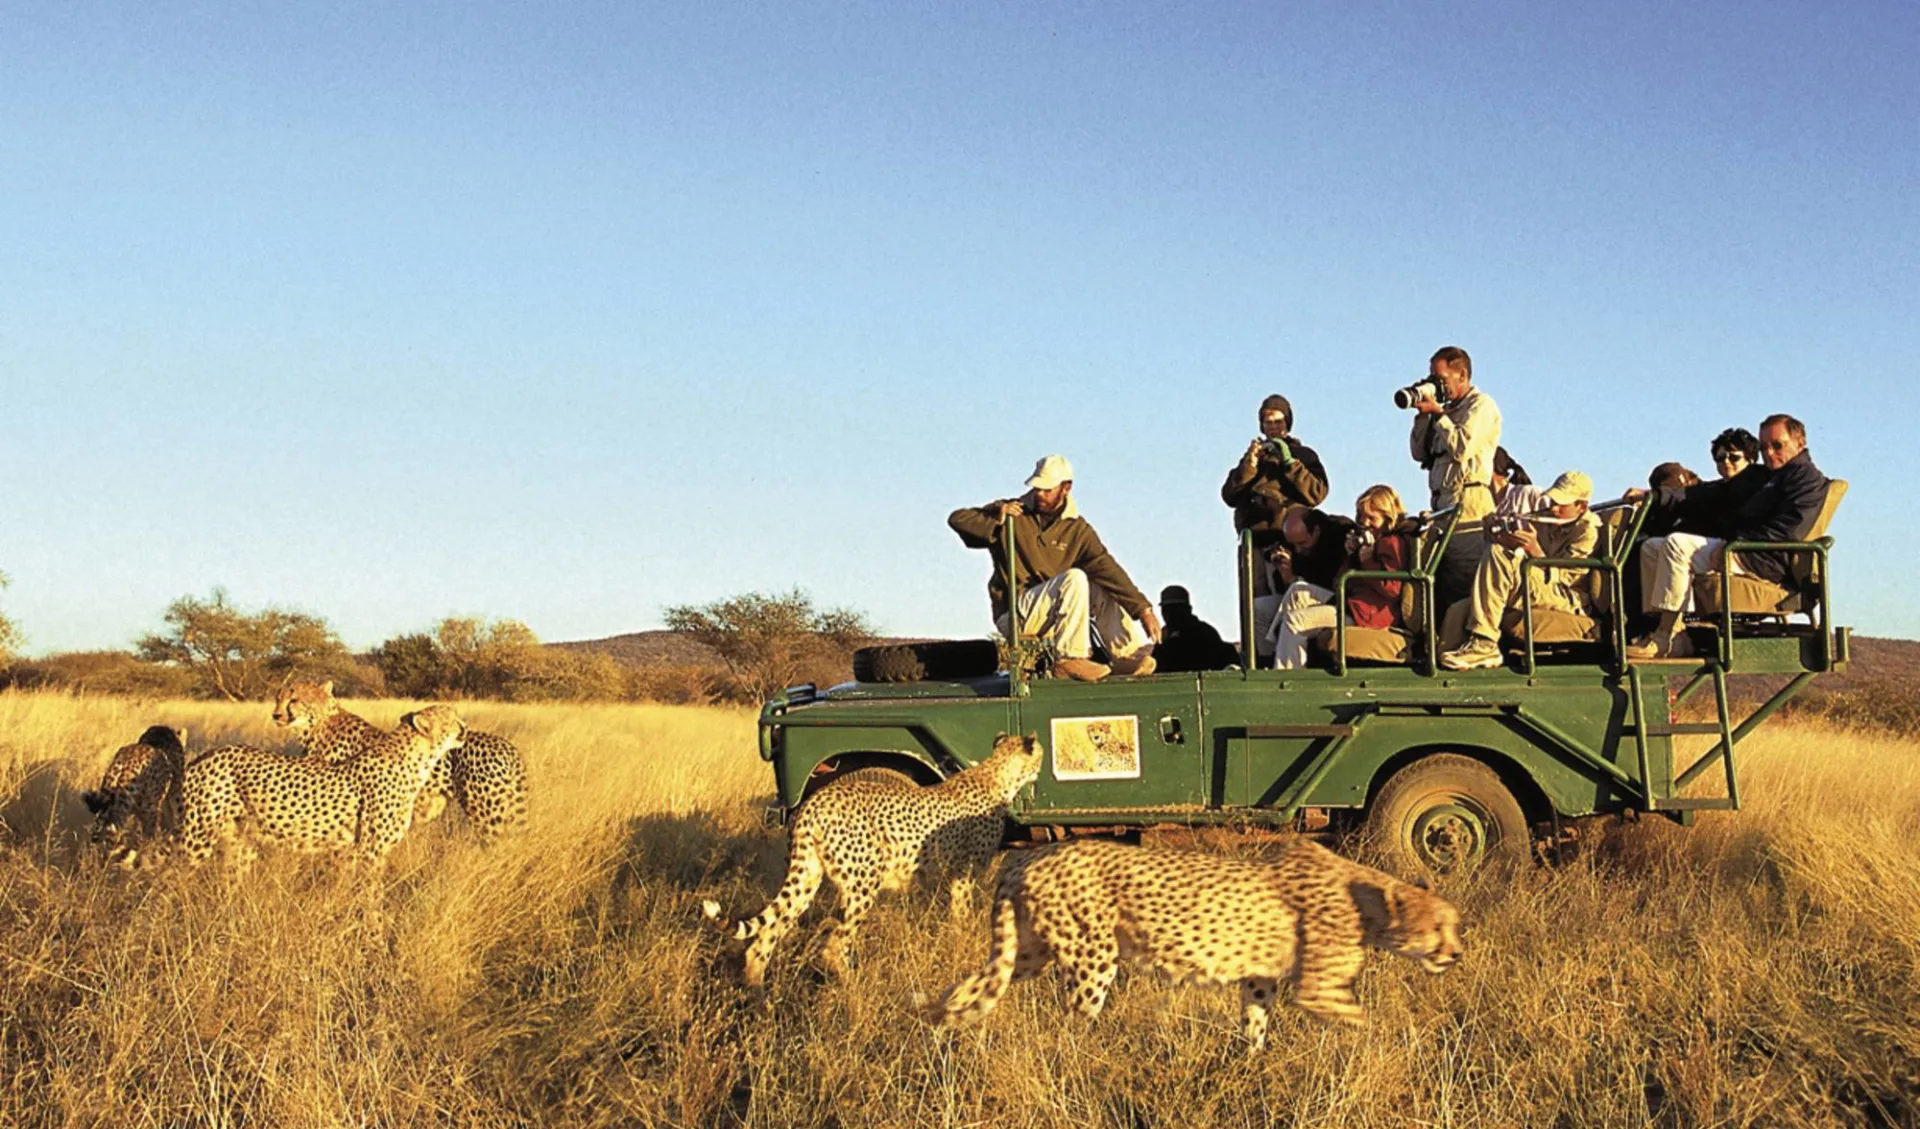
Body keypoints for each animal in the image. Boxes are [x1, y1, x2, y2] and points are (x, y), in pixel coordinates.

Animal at [79, 725, 186, 860]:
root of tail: (124, 765)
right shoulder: (173, 792)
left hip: (112, 805)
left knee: (100, 832)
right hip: (148, 809)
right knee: (147, 834)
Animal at [180, 706, 468, 871]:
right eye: (452, 717)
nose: (465, 726)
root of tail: (203, 757)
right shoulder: (370, 852)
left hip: (240, 844)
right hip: (194, 841)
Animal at [270, 679, 526, 837]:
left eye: (294, 700)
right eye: (277, 698)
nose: (275, 715)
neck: (318, 725)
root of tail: (507, 745)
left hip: (487, 815)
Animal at [706, 733, 1044, 990]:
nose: (1041, 769)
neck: (995, 773)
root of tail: (814, 804)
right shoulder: (964, 873)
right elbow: (962, 913)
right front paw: (964, 943)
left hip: (807, 877)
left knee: (764, 937)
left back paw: (758, 997)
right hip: (862, 883)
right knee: (834, 943)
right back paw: (854, 988)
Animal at [921, 837, 1459, 1052]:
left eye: (1456, 926)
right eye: (1438, 928)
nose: (1456, 954)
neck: (1367, 895)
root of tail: (1028, 855)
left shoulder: (1260, 978)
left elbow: (1255, 1022)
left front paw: (1250, 1063)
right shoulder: (1319, 991)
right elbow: (1369, 1022)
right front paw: (1404, 1044)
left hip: (1030, 952)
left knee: (969, 986)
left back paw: (940, 1030)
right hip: (1093, 959)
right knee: (1070, 1027)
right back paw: (1087, 1066)